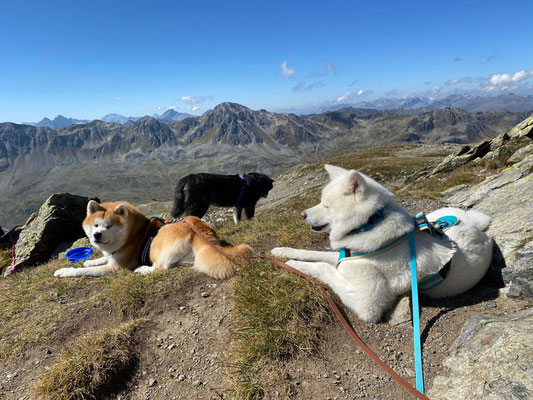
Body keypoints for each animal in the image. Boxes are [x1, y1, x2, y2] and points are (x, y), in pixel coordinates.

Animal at [55, 200, 252, 278]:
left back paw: (142, 269)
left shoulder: (117, 266)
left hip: (155, 246)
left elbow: (85, 270)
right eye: (96, 225)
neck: (133, 234)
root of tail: (199, 231)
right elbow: (100, 259)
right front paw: (89, 260)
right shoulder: (112, 256)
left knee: (159, 268)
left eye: (108, 226)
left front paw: (66, 271)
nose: (97, 235)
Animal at [272, 164, 492, 324]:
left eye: (326, 206)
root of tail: (480, 230)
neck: (370, 223)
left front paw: (293, 265)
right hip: (435, 215)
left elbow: (322, 267)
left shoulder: (366, 303)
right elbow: (313, 254)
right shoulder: (345, 255)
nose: (302, 214)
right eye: (320, 201)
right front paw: (282, 252)